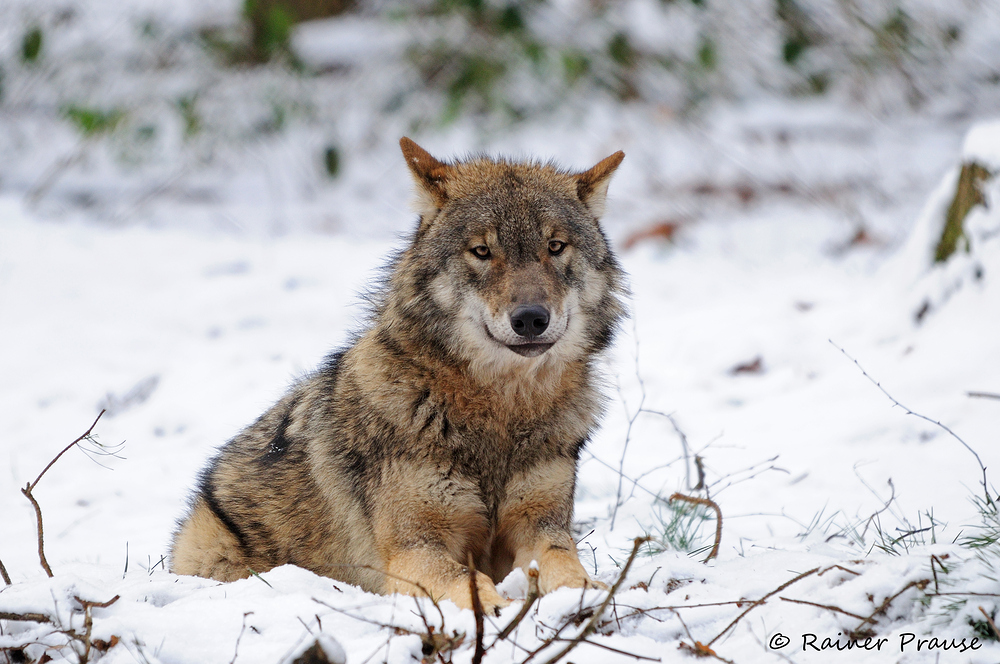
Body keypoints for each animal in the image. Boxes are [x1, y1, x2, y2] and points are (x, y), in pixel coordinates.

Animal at [170, 139, 624, 612]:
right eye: (481, 251)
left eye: (555, 246)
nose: (532, 319)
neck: (500, 410)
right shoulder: (414, 548)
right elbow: (469, 584)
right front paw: (500, 615)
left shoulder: (540, 526)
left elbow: (566, 566)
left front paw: (583, 599)